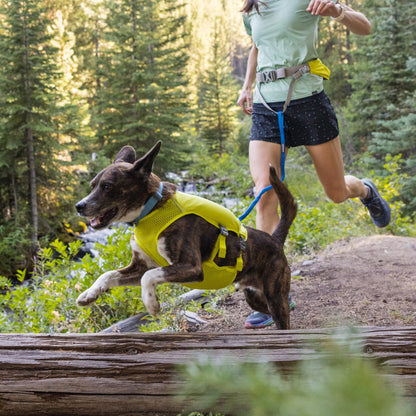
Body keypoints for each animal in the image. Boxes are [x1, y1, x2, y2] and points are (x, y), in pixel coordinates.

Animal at [75, 142, 296, 328]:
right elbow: (108, 274)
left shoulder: (190, 266)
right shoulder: (139, 266)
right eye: (92, 185)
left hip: (275, 295)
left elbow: (148, 277)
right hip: (254, 297)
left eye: (107, 186)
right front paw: (89, 294)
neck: (151, 210)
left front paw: (151, 303)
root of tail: (275, 239)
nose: (79, 206)